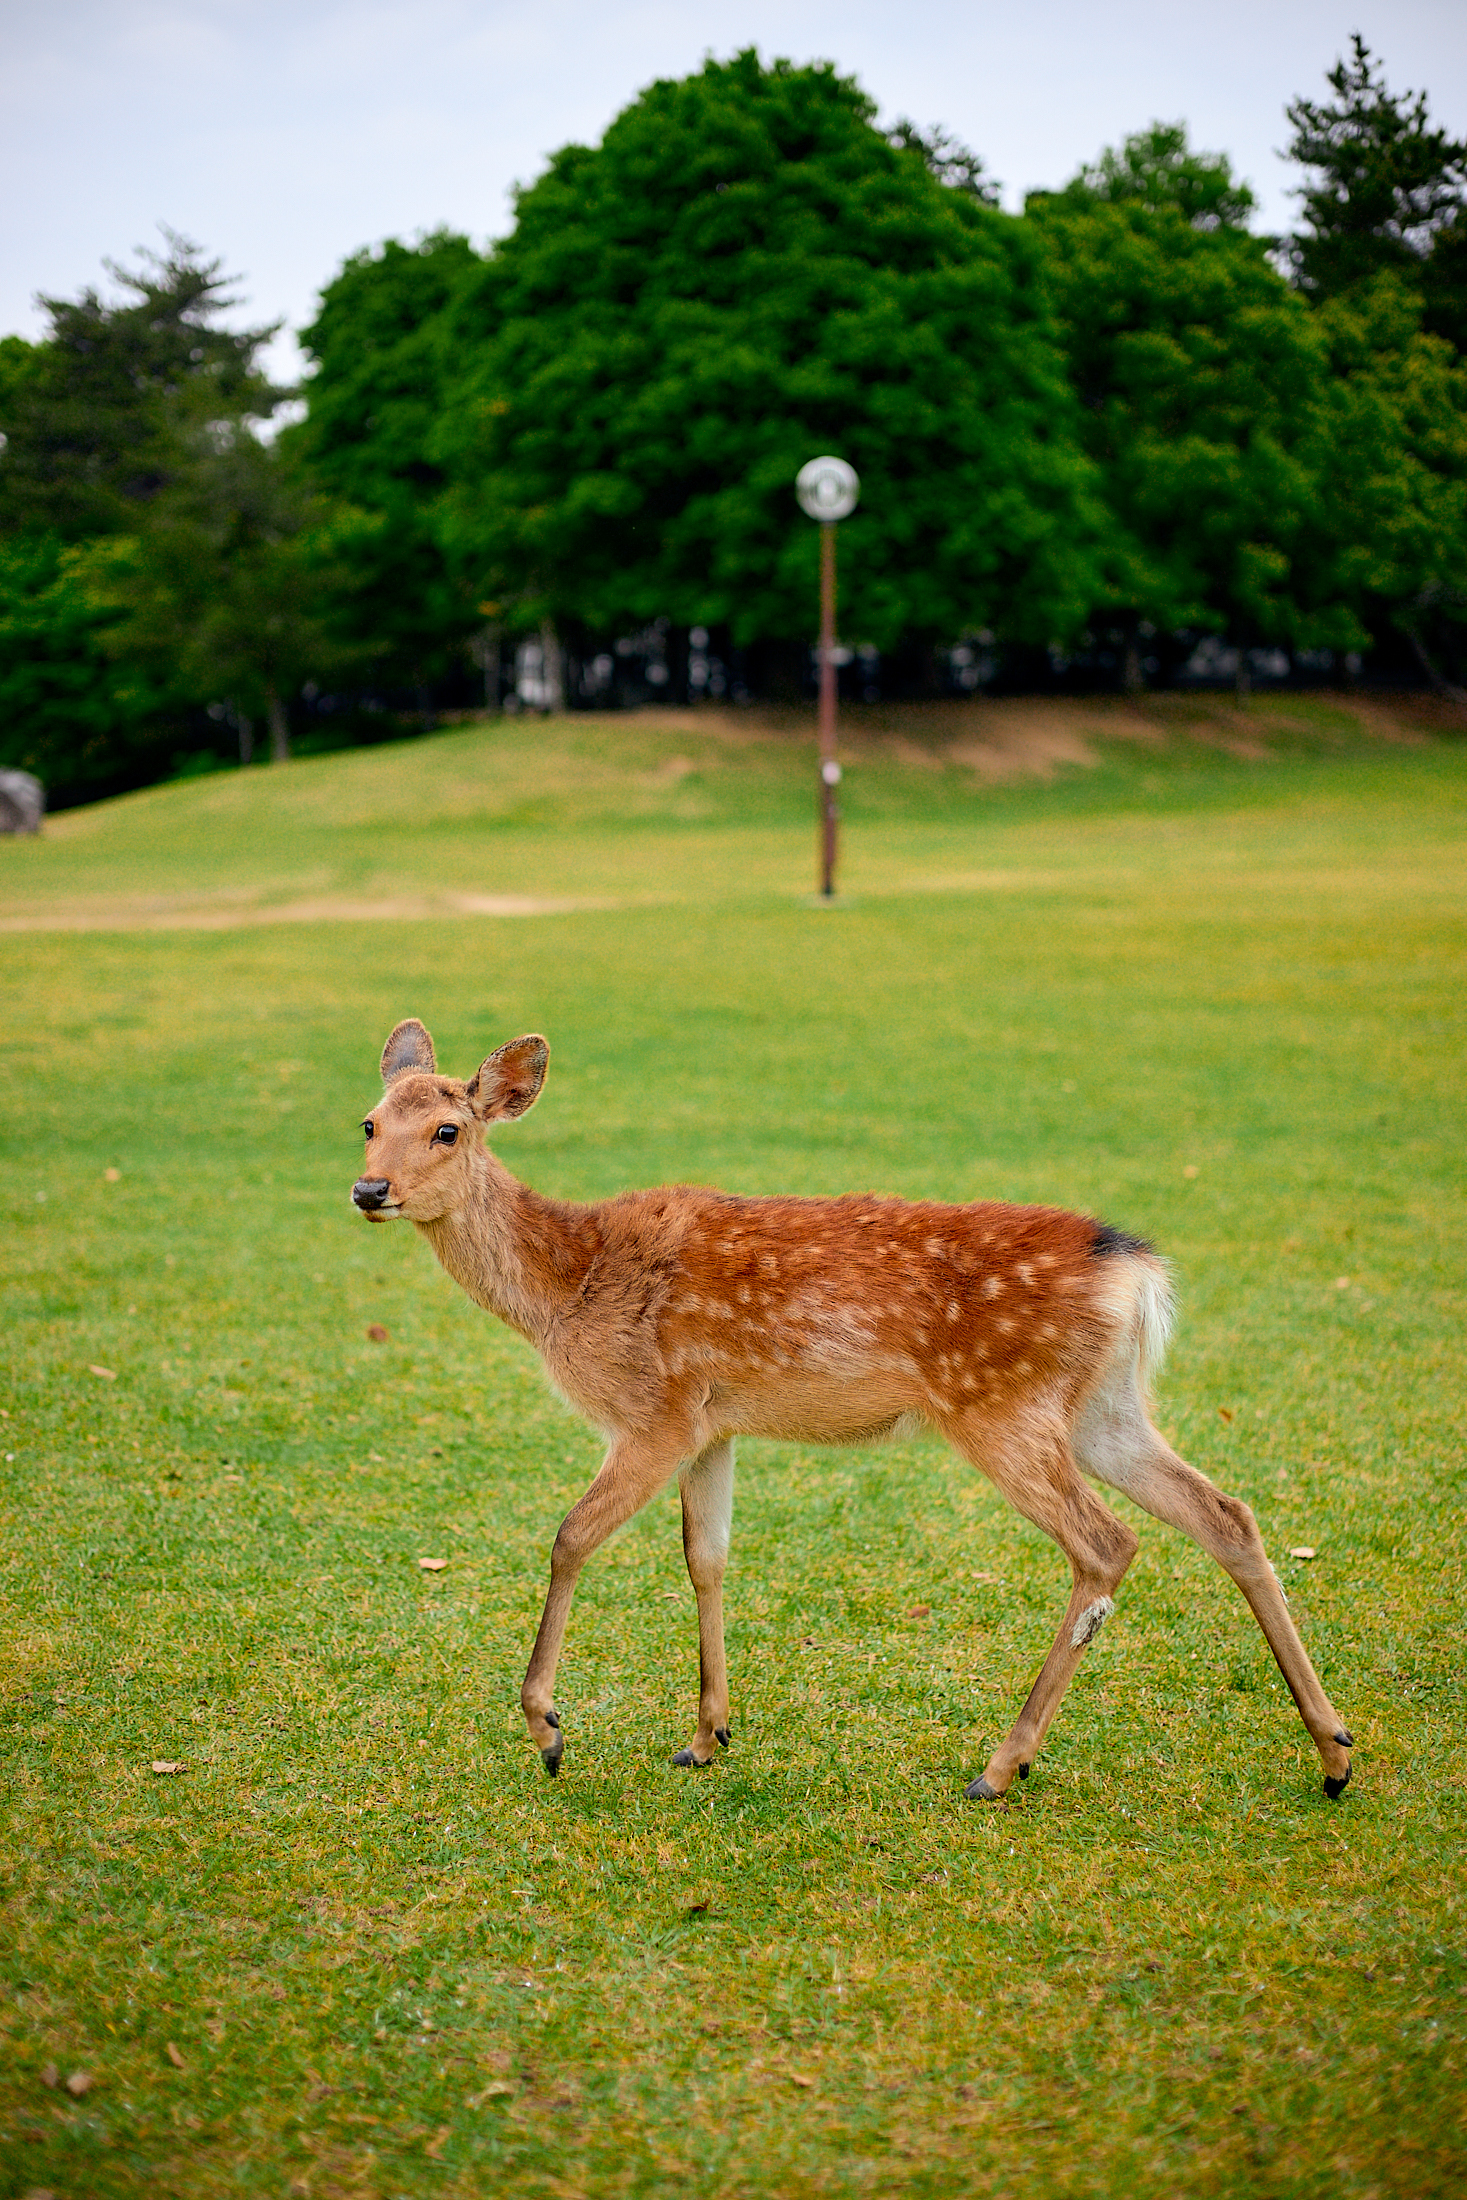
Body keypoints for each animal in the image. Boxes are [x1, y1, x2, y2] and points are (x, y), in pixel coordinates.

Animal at [351, 1020, 1354, 1795]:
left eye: (447, 1129)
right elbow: (706, 1559)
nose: (368, 1189)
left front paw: (549, 1729)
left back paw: (1001, 1765)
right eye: (366, 1123)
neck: (566, 1289)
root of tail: (1132, 1271)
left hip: (1001, 1405)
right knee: (1224, 1512)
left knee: (1106, 1544)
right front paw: (706, 1736)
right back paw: (1334, 1751)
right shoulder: (711, 1424)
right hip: (1103, 1407)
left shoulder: (653, 1410)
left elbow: (568, 1538)